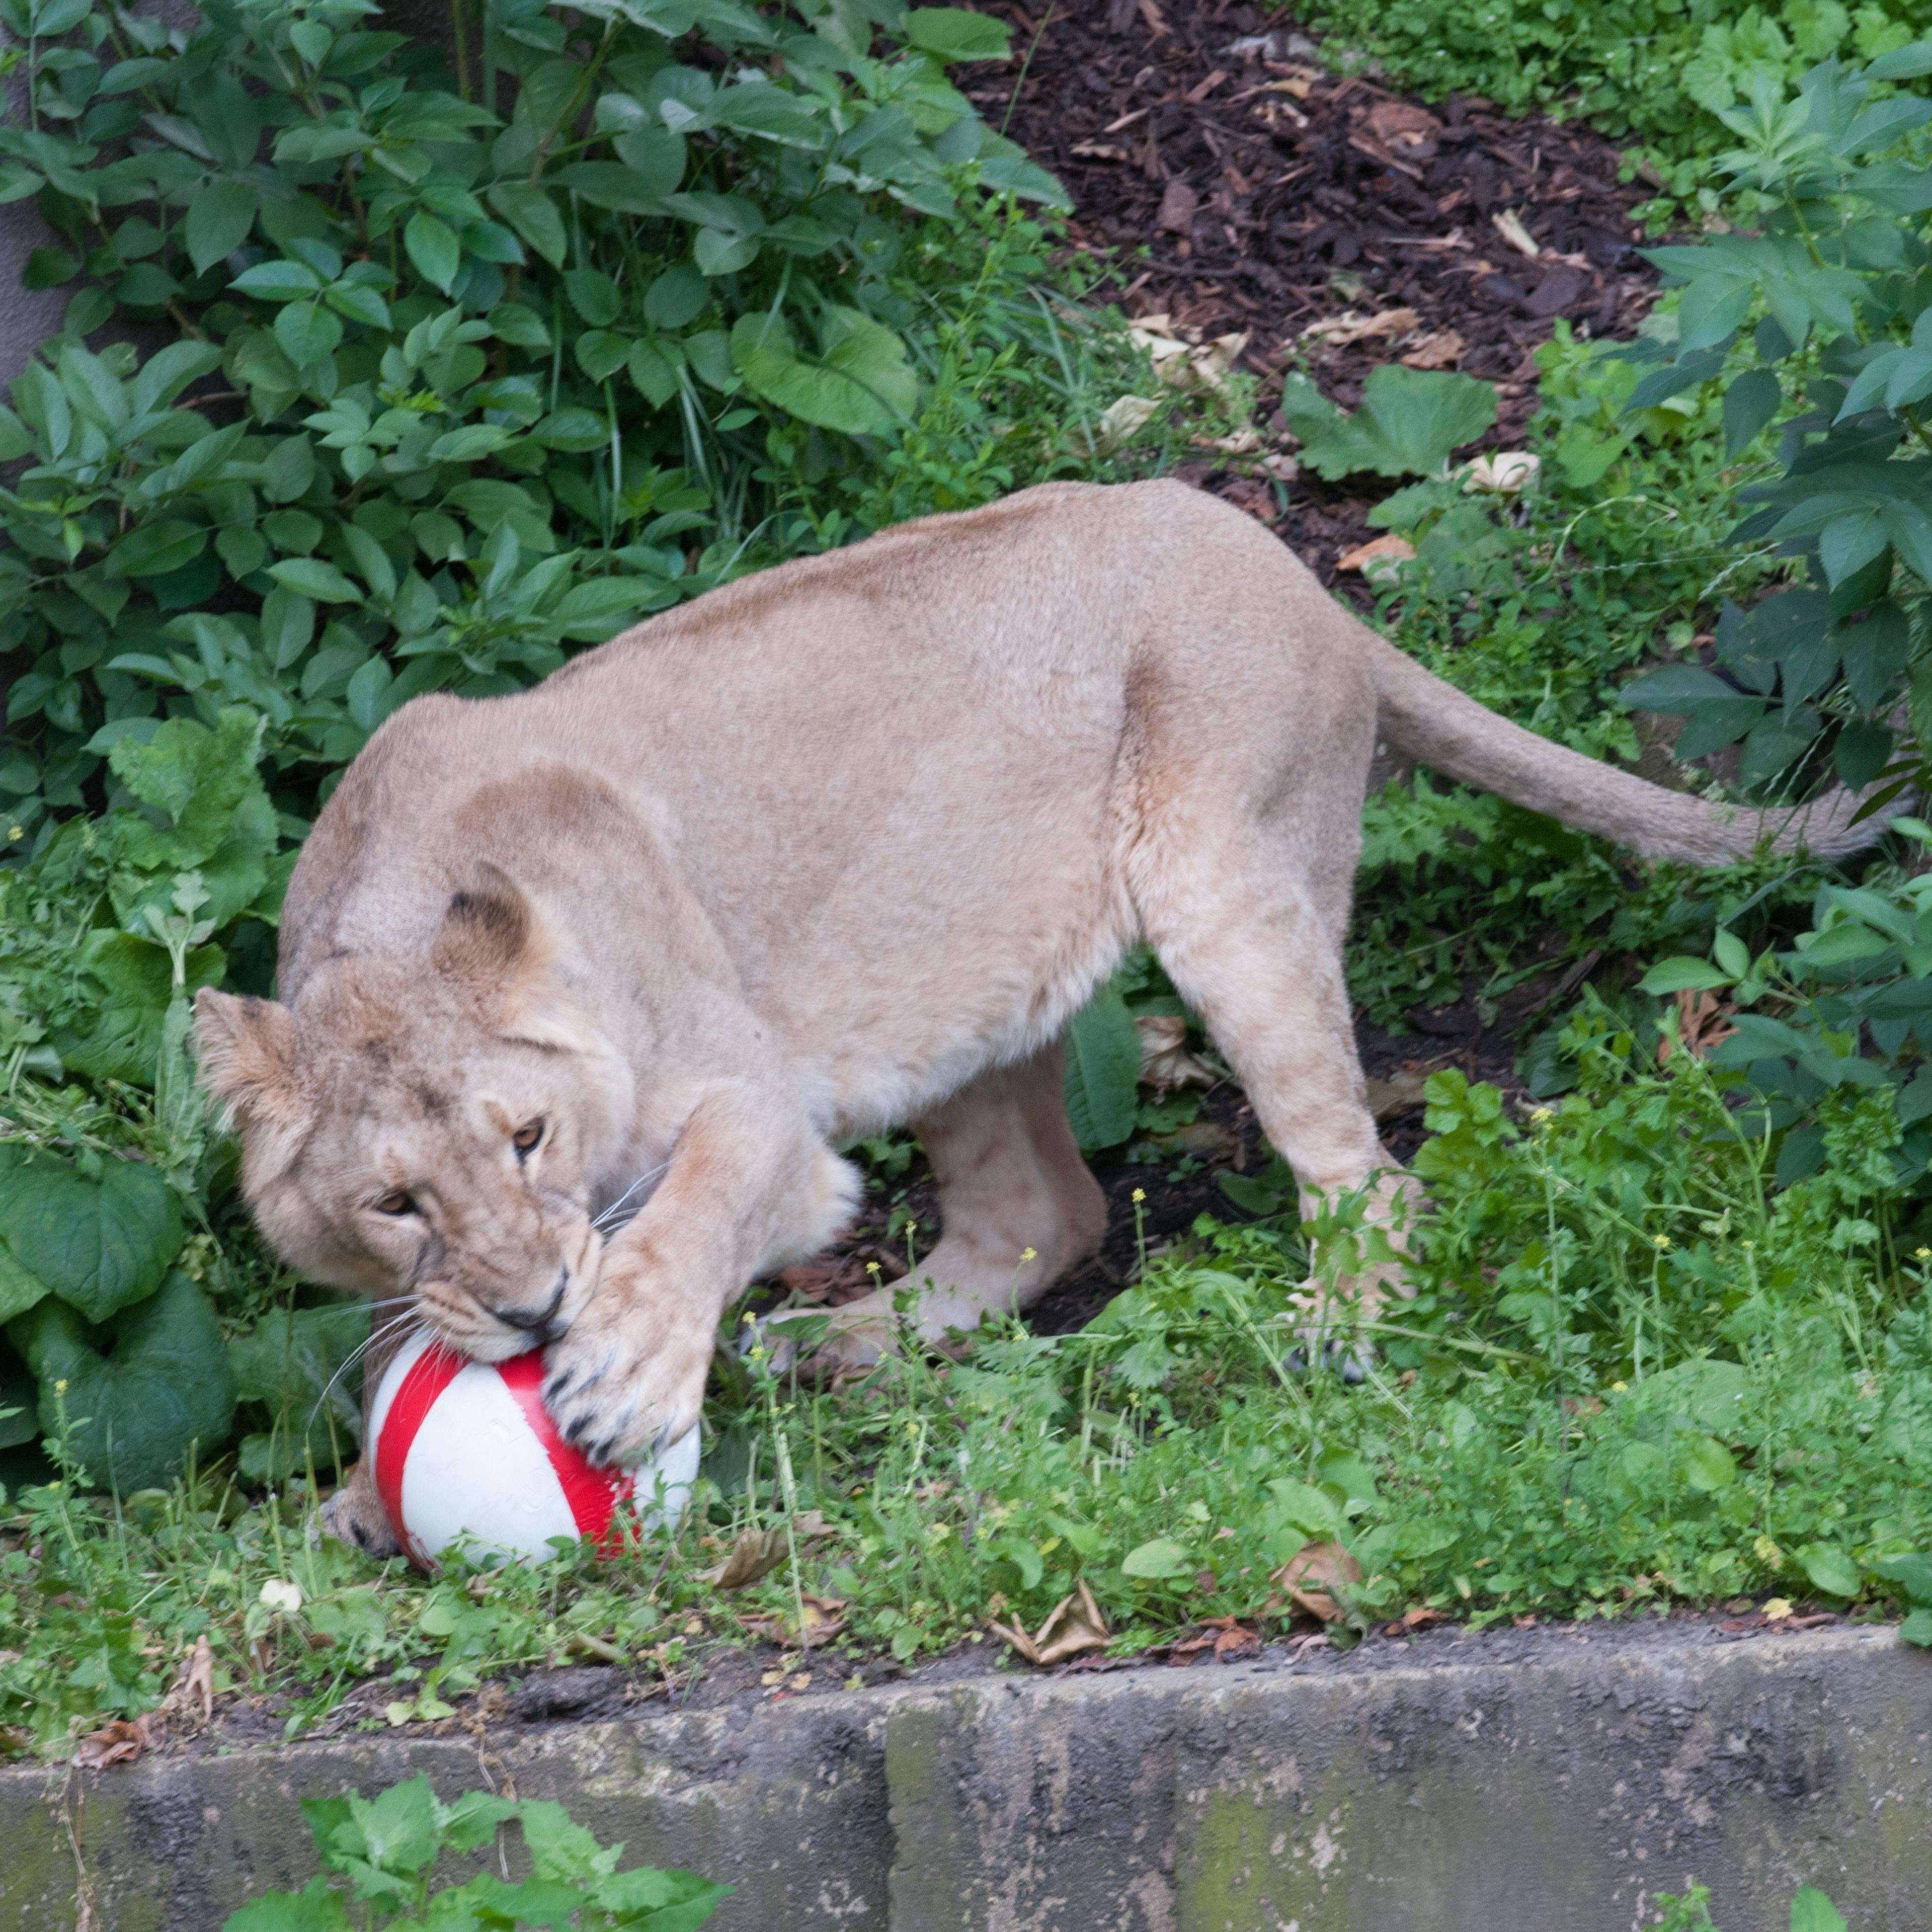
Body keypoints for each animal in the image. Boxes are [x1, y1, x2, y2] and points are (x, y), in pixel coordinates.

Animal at [194, 479, 1865, 1554]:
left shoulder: (761, 1112)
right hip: (957, 1006)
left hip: (1229, 886)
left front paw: (625, 1370)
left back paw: (1335, 1332)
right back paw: (843, 1346)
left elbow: (694, 1210)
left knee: (1365, 1179)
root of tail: (1300, 575)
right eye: (397, 1203)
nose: (536, 1315)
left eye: (530, 1136)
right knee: (1042, 1211)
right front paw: (363, 1499)